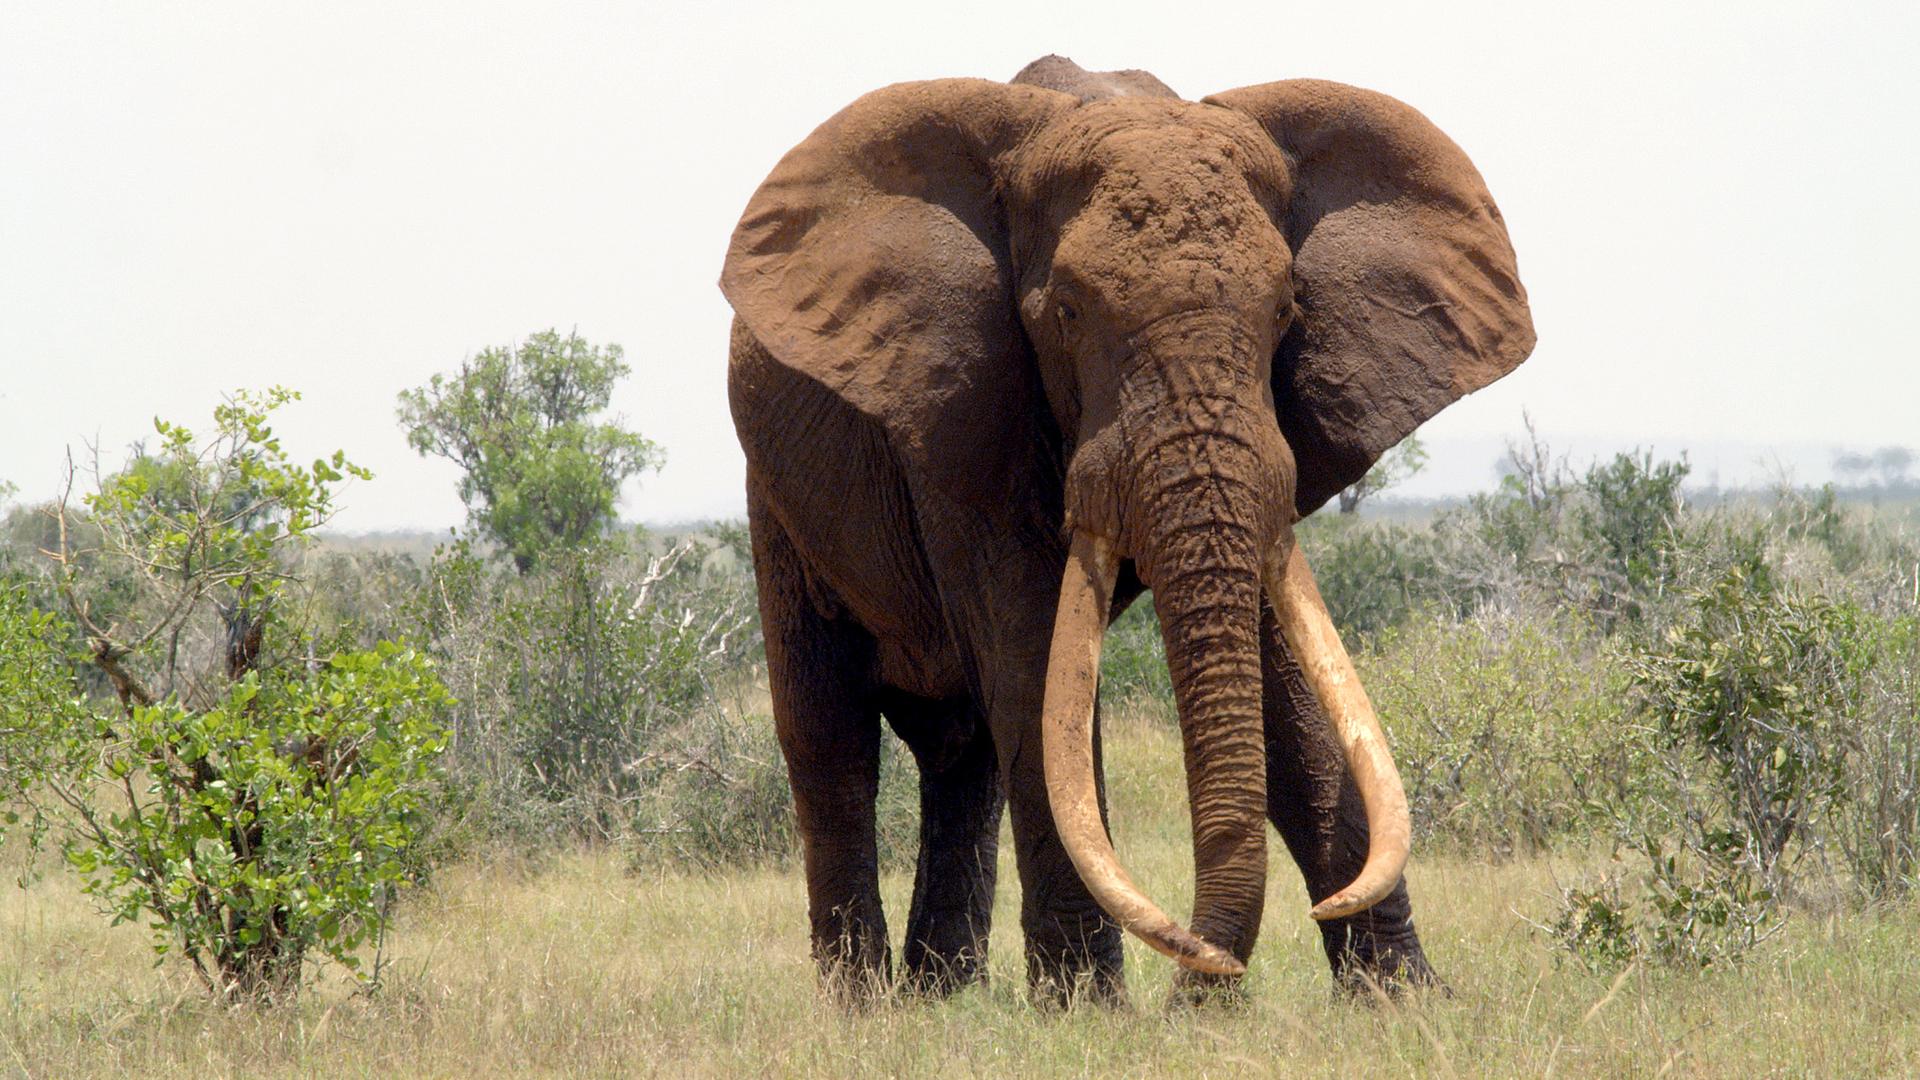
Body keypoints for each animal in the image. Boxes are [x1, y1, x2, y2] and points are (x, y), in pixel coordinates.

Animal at [720, 55, 1533, 1003]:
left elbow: (1279, 673)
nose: (1206, 975)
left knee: (964, 748)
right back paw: (865, 1008)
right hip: (777, 501)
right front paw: (1086, 1011)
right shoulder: (965, 407)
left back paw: (942, 997)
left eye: (1286, 312)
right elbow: (1035, 663)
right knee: (831, 736)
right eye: (1067, 313)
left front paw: (1397, 999)